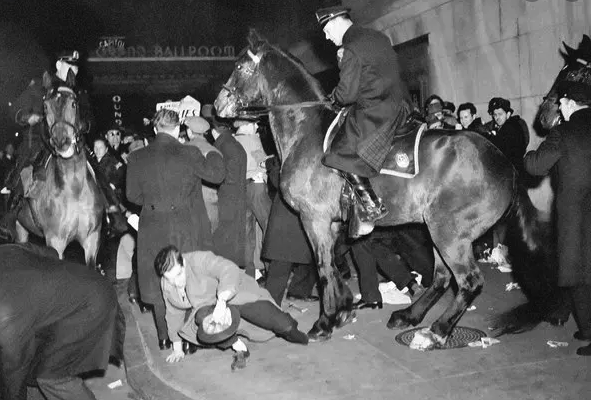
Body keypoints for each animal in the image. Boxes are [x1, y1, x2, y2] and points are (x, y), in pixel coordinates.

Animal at [15, 71, 104, 268]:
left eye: (73, 103)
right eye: (45, 106)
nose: (61, 141)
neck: (75, 188)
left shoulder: (92, 240)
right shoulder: (56, 241)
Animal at [216, 30, 540, 350]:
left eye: (240, 67)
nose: (219, 105)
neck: (306, 131)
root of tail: (506, 165)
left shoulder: (314, 218)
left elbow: (323, 267)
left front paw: (325, 321)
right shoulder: (334, 223)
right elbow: (334, 264)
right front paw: (343, 308)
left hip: (450, 233)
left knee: (469, 281)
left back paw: (435, 331)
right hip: (438, 231)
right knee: (441, 276)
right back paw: (409, 316)